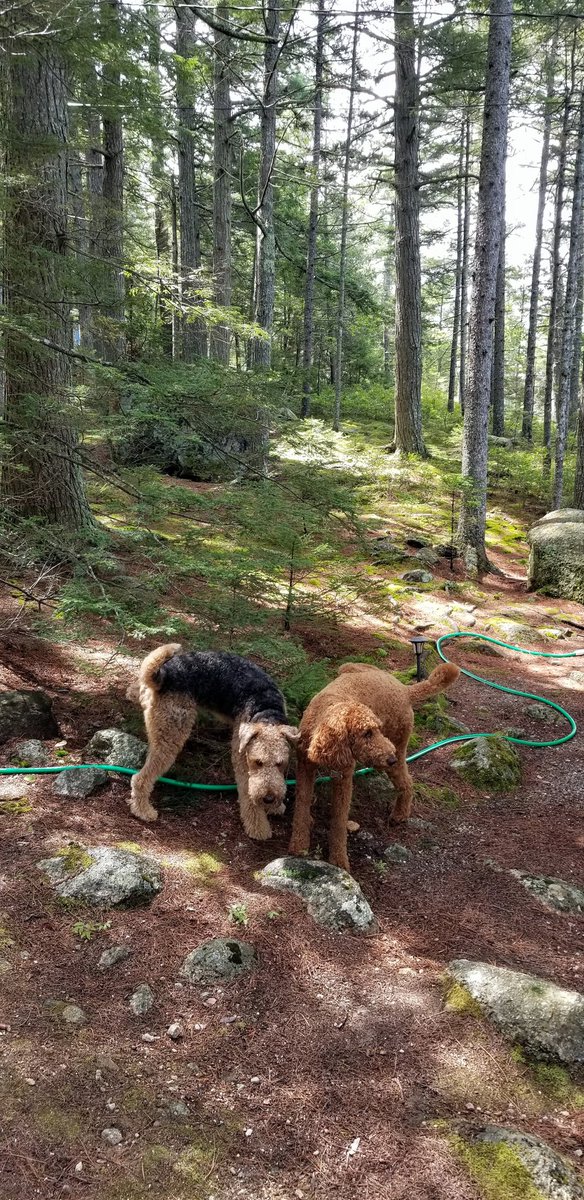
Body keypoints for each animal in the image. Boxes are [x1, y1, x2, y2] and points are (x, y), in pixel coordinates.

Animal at [129, 652, 299, 840]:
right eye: (257, 762)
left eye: (280, 763)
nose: (269, 799)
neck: (266, 709)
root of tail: (164, 673)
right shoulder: (242, 759)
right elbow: (248, 795)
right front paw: (259, 828)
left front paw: (276, 806)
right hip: (171, 736)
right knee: (140, 778)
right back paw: (143, 810)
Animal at [289, 662, 462, 868]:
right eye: (366, 733)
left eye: (377, 729)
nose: (390, 758)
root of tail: (404, 689)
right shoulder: (304, 768)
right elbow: (301, 805)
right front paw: (299, 846)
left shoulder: (344, 777)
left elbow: (339, 820)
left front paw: (339, 860)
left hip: (398, 744)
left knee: (406, 782)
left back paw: (400, 814)